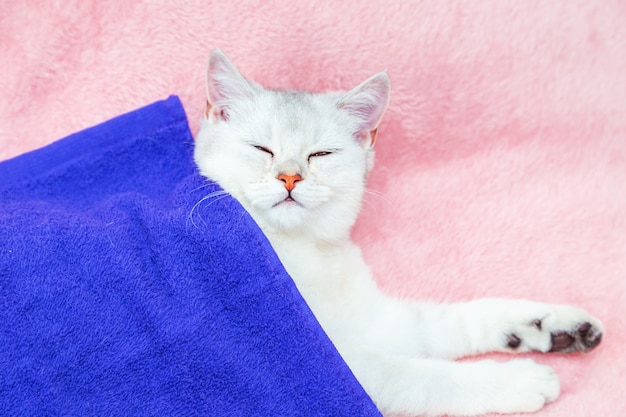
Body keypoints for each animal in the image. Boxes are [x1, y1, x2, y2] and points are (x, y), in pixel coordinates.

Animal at [193, 49, 604, 416]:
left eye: (321, 154)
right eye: (261, 148)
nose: (290, 177)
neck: (308, 251)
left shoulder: (371, 320)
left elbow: (445, 322)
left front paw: (548, 325)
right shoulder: (329, 364)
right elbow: (422, 376)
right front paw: (514, 381)